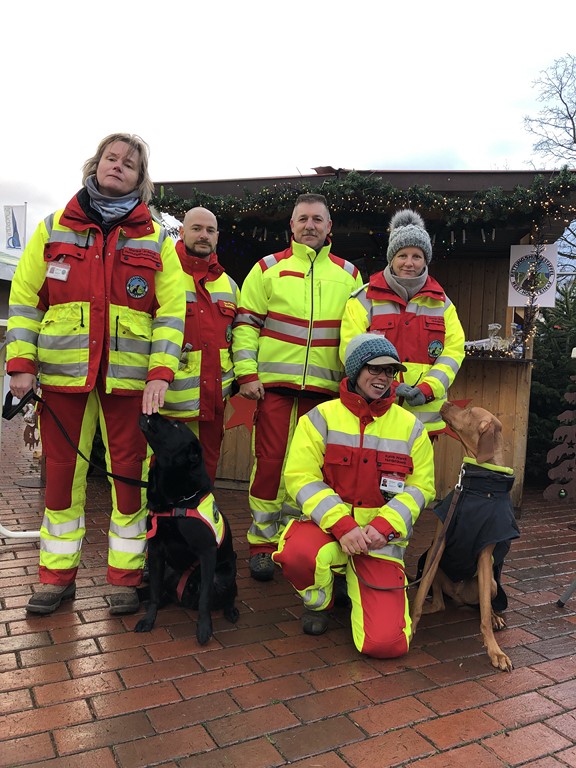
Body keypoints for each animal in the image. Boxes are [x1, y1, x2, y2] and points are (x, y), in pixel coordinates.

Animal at [135, 414, 238, 640]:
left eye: (175, 425)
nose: (150, 412)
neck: (175, 503)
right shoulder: (155, 551)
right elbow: (154, 593)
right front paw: (149, 620)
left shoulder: (207, 552)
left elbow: (205, 599)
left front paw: (204, 629)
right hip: (168, 571)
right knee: (160, 592)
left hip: (224, 575)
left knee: (231, 594)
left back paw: (231, 611)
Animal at [412, 402, 520, 672]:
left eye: (470, 412)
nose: (445, 403)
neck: (478, 488)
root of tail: (457, 596)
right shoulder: (438, 546)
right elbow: (419, 596)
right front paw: (409, 629)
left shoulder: (485, 555)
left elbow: (483, 616)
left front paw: (495, 652)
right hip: (435, 567)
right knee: (438, 602)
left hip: (490, 583)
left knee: (483, 605)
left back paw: (495, 617)